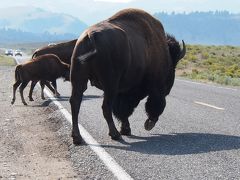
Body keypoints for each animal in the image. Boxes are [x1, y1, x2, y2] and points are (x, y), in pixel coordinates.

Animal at [69, 8, 186, 145]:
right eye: (173, 65)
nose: (168, 88)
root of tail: (90, 36)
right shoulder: (154, 88)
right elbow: (153, 104)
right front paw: (148, 124)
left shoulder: (124, 91)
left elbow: (123, 110)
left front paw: (126, 129)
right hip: (110, 86)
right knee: (105, 107)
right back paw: (115, 134)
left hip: (79, 80)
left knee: (76, 103)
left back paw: (77, 137)